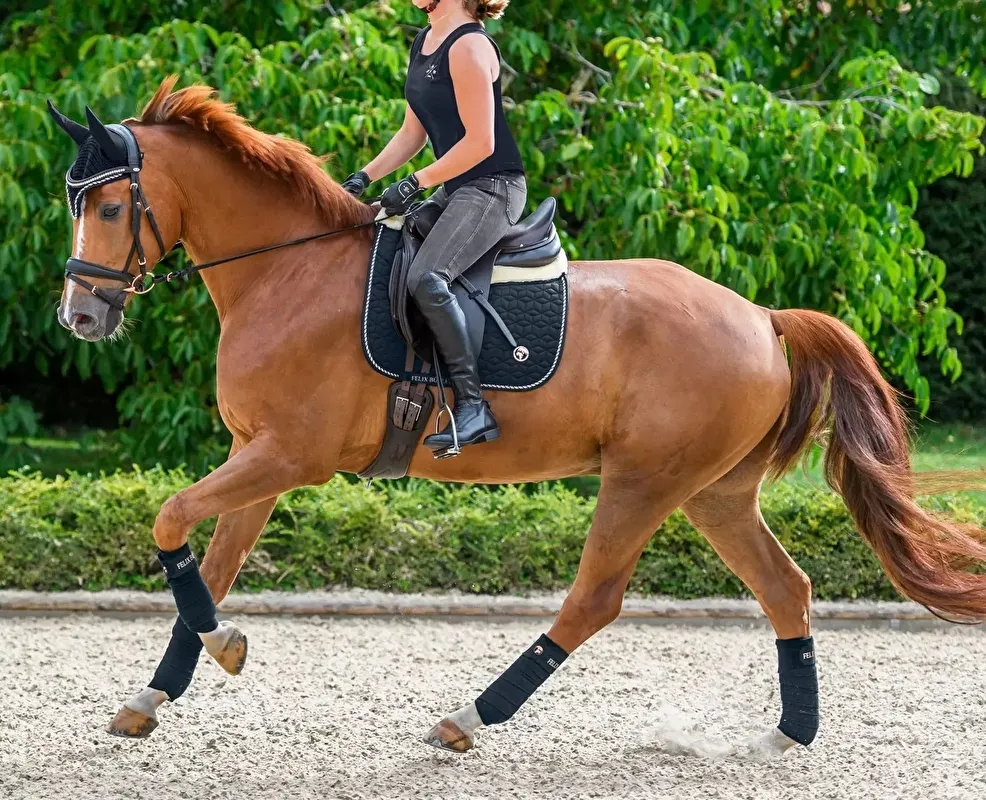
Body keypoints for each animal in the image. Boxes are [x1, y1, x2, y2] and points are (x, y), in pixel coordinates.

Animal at [51, 76, 986, 754]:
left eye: (109, 207)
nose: (81, 317)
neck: (286, 272)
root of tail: (762, 317)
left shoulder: (290, 457)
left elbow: (170, 521)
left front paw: (224, 648)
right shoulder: (258, 458)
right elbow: (205, 570)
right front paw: (153, 694)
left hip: (644, 481)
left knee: (594, 600)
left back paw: (468, 718)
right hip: (714, 492)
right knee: (786, 589)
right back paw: (788, 735)